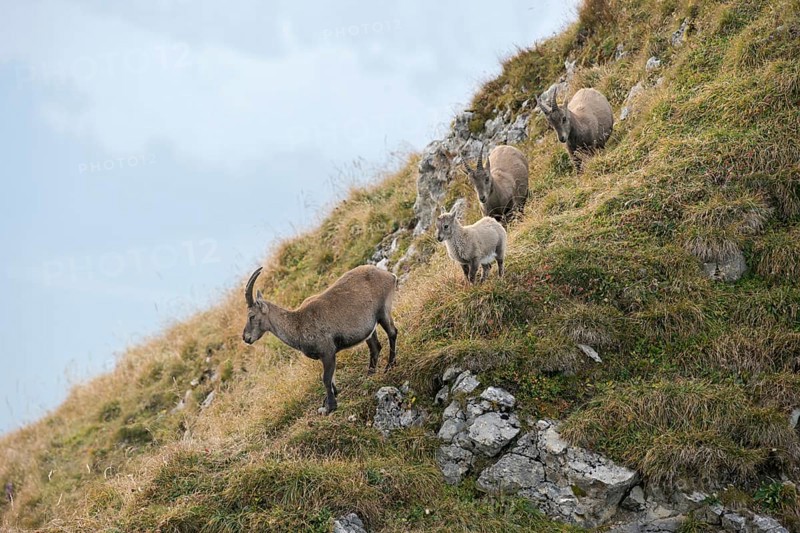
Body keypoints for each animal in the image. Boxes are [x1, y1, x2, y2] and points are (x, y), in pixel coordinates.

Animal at [242, 265, 398, 414]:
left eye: (252, 316)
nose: (245, 337)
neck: (298, 324)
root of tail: (389, 275)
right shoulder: (326, 356)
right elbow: (331, 379)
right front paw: (329, 400)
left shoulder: (327, 352)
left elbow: (326, 379)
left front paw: (331, 406)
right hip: (369, 329)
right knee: (375, 347)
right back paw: (370, 374)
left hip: (383, 311)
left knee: (392, 333)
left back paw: (390, 366)